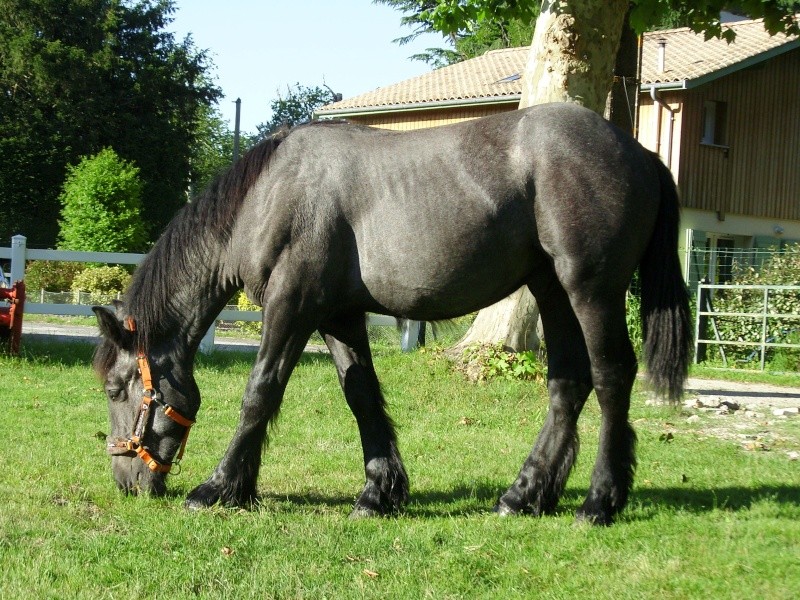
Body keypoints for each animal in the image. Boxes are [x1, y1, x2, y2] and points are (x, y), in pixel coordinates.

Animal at [94, 103, 692, 524]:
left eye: (116, 389)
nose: (125, 480)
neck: (269, 195)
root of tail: (640, 153)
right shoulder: (337, 316)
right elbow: (361, 395)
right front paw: (378, 492)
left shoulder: (293, 305)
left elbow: (260, 390)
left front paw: (218, 487)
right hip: (552, 292)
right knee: (567, 384)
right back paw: (524, 495)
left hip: (591, 289)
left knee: (612, 376)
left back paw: (599, 501)